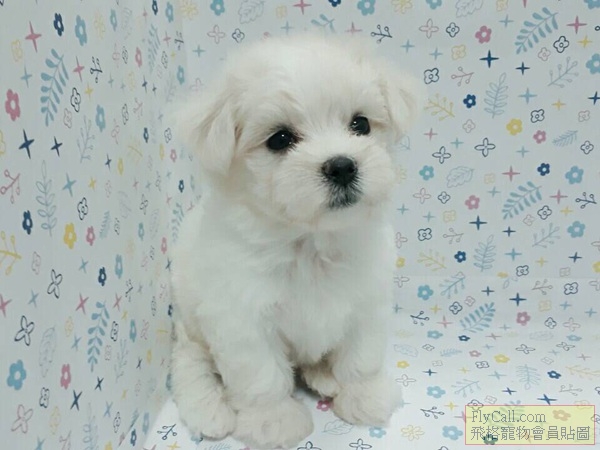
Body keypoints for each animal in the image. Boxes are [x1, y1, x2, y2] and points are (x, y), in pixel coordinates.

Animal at [170, 34, 423, 449]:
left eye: (360, 123)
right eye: (280, 139)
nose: (342, 165)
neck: (310, 241)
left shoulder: (367, 300)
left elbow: (361, 357)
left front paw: (364, 395)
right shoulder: (241, 318)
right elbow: (262, 377)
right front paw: (273, 422)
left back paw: (325, 376)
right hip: (190, 324)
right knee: (190, 363)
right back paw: (210, 409)